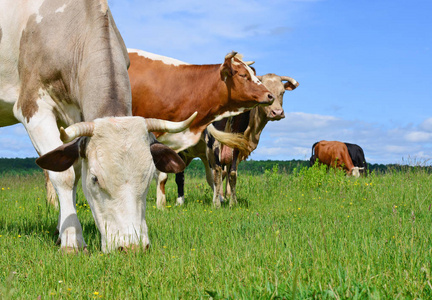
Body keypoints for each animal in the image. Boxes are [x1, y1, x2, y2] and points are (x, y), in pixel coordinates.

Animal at [0, 0, 194, 253]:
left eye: (149, 176)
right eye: (95, 179)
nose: (131, 247)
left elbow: (73, 172)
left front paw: (62, 231)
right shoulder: (34, 107)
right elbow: (63, 175)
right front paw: (72, 240)